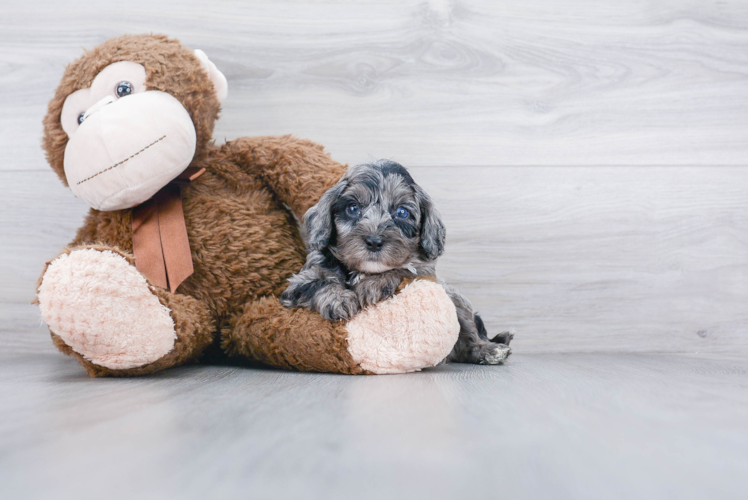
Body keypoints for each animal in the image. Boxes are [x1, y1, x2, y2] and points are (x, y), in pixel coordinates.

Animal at [280, 159, 516, 364]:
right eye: (353, 208)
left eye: (401, 212)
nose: (374, 241)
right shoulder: (298, 283)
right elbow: (321, 281)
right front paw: (339, 300)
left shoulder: (425, 272)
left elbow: (405, 269)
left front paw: (373, 285)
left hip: (455, 298)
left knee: (469, 333)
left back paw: (489, 349)